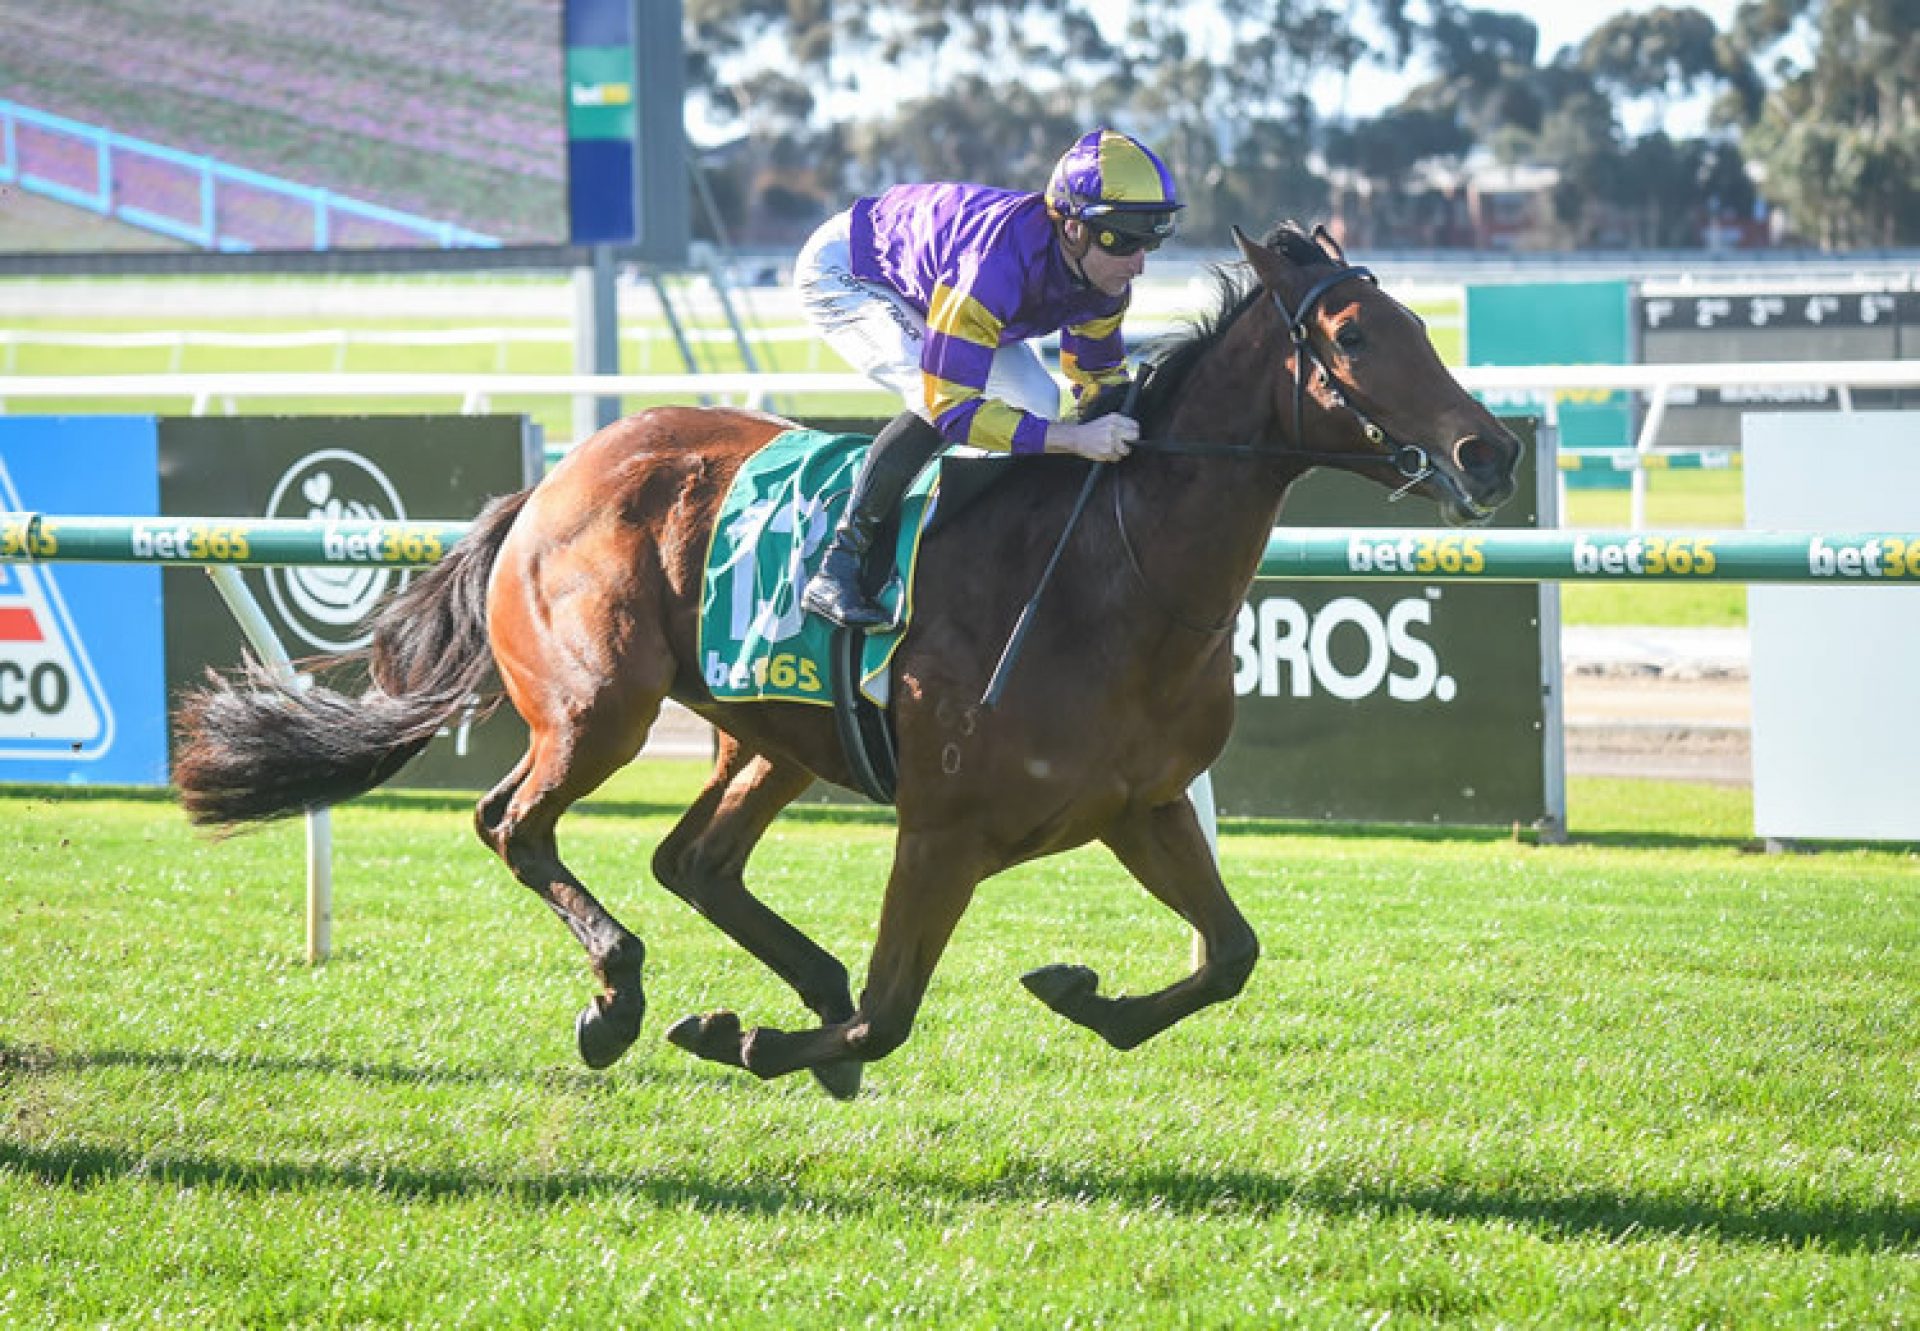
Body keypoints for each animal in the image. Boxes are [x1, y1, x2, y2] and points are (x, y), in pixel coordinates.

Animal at [172, 225, 1520, 1098]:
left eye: (1420, 322)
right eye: (1356, 332)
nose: (1493, 450)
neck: (1118, 577)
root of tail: (551, 480)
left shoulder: (1140, 803)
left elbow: (1229, 955)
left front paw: (1080, 991)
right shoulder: (944, 825)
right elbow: (891, 1013)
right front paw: (749, 1039)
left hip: (771, 732)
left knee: (694, 857)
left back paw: (786, 981)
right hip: (600, 703)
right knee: (517, 822)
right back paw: (623, 996)